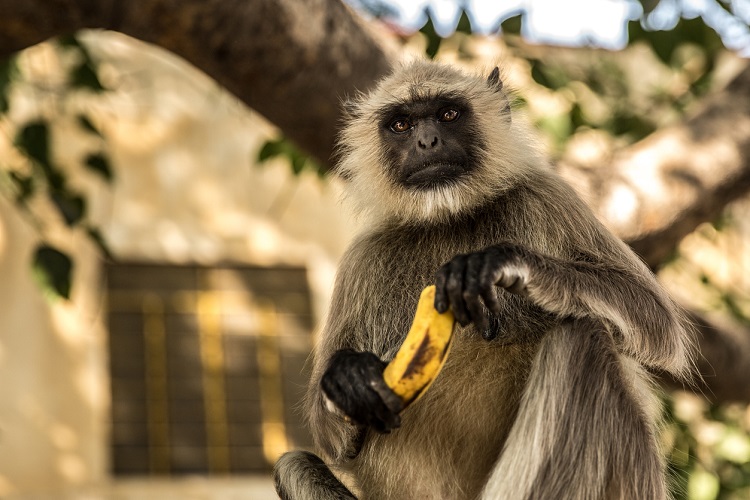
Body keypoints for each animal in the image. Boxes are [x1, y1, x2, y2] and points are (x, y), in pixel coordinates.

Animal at [274, 59, 696, 500]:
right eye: (402, 124)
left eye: (448, 114)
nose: (427, 141)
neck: (449, 219)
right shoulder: (362, 260)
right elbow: (331, 438)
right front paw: (348, 376)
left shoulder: (548, 197)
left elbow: (658, 325)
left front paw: (500, 263)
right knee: (294, 463)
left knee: (581, 338)